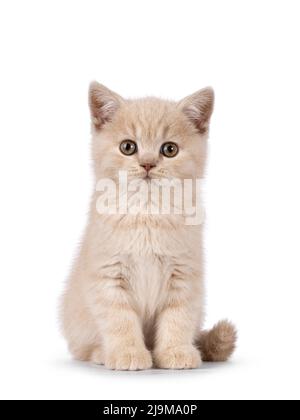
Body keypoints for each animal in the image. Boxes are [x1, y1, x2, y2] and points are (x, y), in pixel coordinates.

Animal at [59, 83, 236, 370]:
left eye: (169, 149)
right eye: (128, 147)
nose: (148, 164)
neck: (147, 213)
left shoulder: (184, 275)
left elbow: (178, 318)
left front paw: (176, 351)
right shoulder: (108, 275)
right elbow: (119, 320)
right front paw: (128, 353)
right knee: (82, 349)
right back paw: (101, 353)